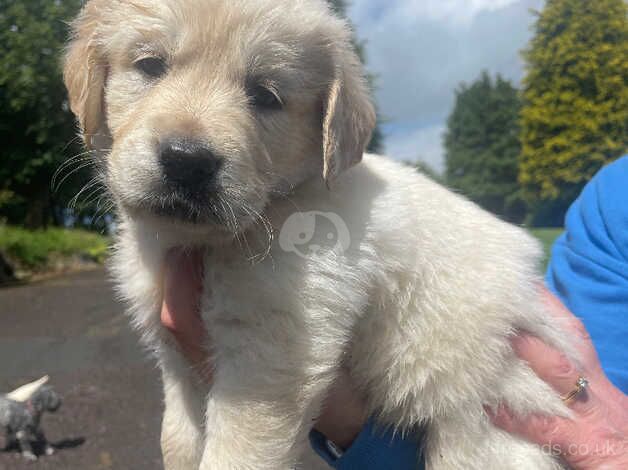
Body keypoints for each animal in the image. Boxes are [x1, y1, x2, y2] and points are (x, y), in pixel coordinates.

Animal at [66, 0, 576, 470]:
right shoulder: (177, 363)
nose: (188, 161)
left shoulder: (269, 357)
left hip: (485, 427)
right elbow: (177, 440)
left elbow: (235, 455)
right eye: (150, 65)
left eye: (266, 94)